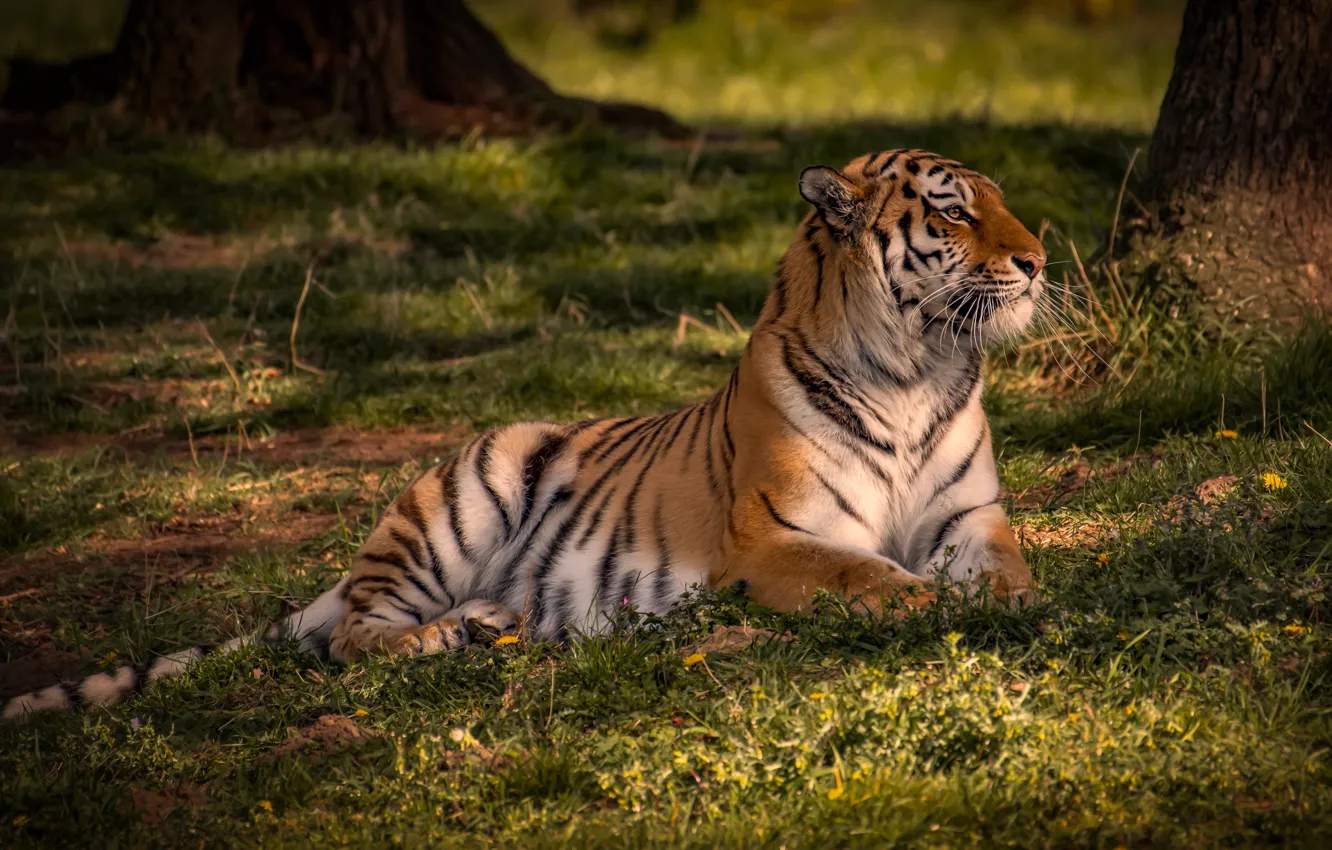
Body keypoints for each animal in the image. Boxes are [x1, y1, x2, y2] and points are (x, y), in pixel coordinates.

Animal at [4, 148, 1046, 721]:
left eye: (1002, 201)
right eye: (953, 208)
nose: (1039, 261)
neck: (915, 367)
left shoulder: (972, 516)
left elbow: (1009, 567)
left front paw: (1014, 606)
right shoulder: (774, 538)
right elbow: (864, 574)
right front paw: (924, 603)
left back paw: (495, 624)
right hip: (468, 489)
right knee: (351, 633)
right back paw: (447, 636)